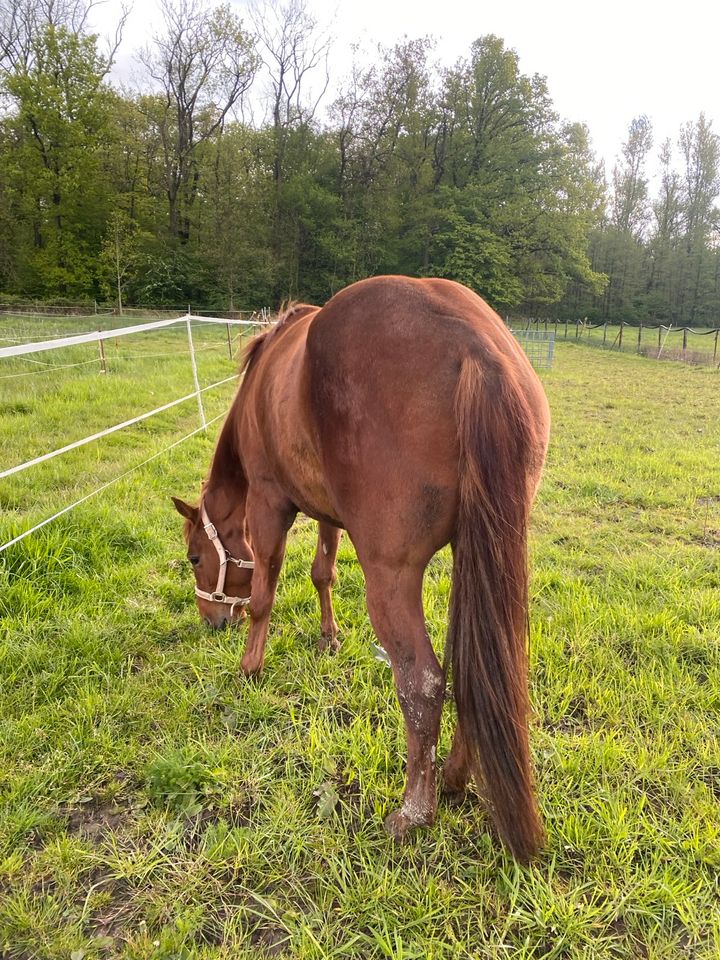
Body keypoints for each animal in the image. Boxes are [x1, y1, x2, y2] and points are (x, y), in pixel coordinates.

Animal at [173, 274, 552, 860]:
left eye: (195, 557)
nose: (211, 620)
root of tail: (478, 349)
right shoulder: (328, 513)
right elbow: (322, 572)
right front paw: (328, 636)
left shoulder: (269, 502)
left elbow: (264, 591)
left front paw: (250, 665)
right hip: (475, 562)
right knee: (471, 667)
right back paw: (454, 779)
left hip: (391, 577)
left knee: (422, 681)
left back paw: (415, 810)